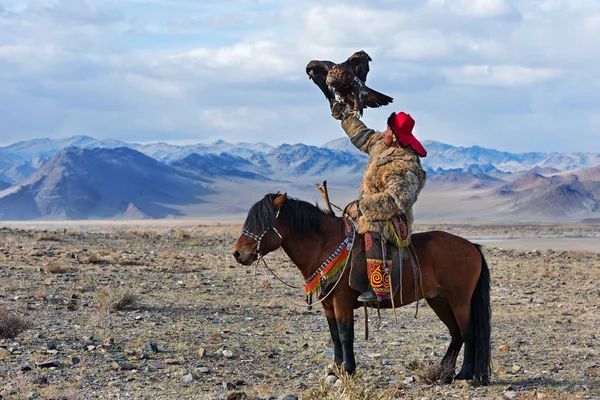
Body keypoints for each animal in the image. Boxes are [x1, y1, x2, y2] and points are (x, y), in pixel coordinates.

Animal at [232, 194, 490, 384]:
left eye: (263, 223)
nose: (238, 254)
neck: (325, 246)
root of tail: (472, 246)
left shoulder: (342, 301)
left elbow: (346, 335)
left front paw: (348, 370)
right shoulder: (328, 304)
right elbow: (334, 335)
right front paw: (335, 369)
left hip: (459, 300)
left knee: (468, 332)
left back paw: (464, 375)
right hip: (439, 300)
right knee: (456, 334)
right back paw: (444, 373)